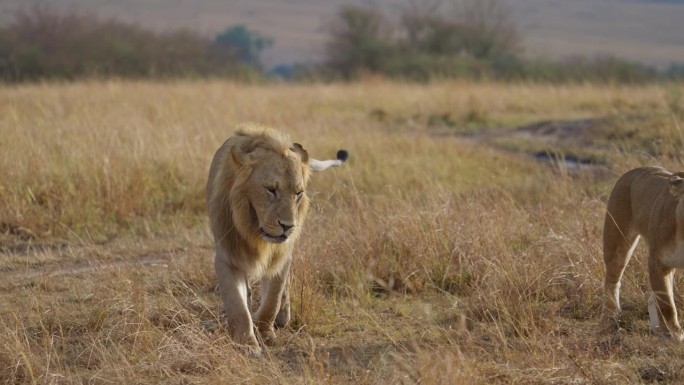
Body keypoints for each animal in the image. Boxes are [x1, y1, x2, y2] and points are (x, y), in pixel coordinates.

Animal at [206, 124, 348, 352]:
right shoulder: (227, 255)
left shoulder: (281, 254)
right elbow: (237, 305)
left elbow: (272, 300)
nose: (288, 227)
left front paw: (265, 332)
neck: (253, 228)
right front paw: (247, 344)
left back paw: (283, 317)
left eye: (298, 193)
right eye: (271, 189)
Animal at [604, 166, 684, 340]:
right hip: (618, 242)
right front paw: (676, 334)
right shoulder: (657, 262)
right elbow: (666, 303)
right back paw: (610, 316)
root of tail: (636, 169)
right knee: (612, 281)